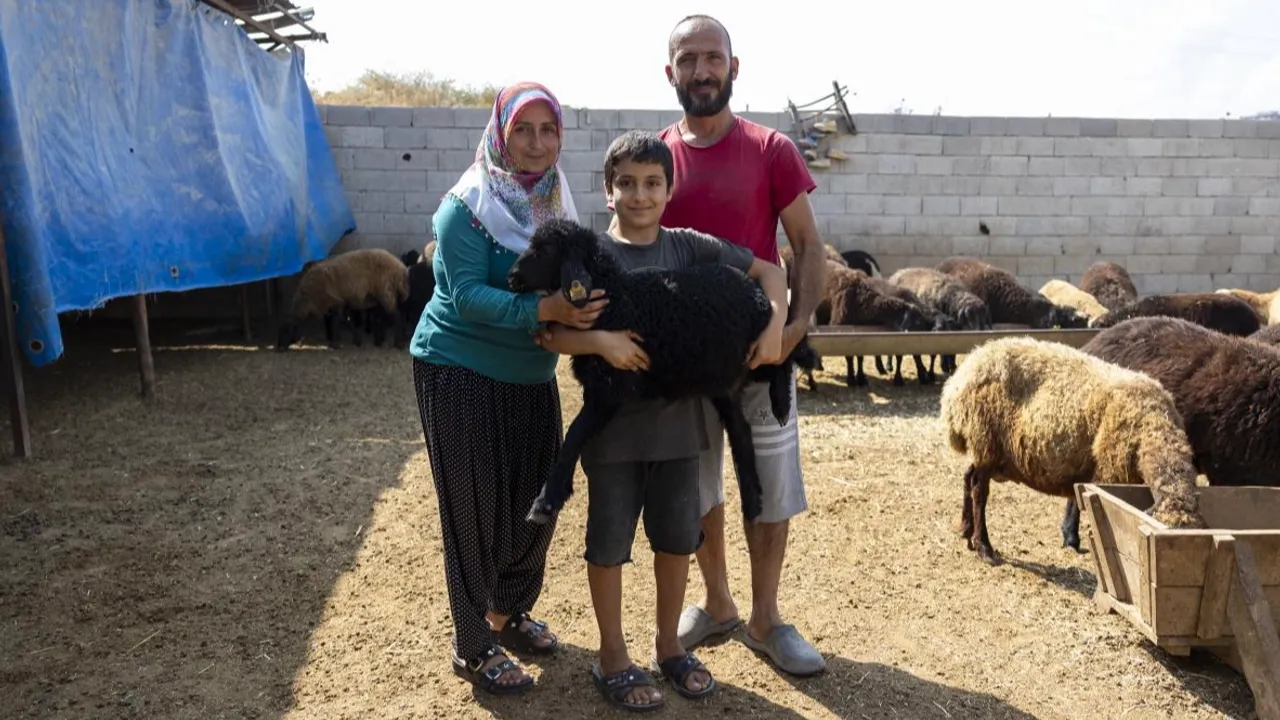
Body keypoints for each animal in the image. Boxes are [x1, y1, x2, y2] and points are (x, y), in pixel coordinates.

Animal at [278, 248, 410, 350]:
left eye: (286, 331)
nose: (279, 349)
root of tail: (401, 268)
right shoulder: (342, 303)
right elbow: (347, 321)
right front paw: (357, 340)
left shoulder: (337, 303)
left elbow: (337, 322)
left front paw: (334, 344)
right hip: (382, 296)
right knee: (389, 316)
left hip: (386, 292)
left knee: (397, 315)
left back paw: (399, 343)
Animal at [505, 218, 819, 526]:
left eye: (546, 249)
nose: (512, 277)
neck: (616, 300)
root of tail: (757, 291)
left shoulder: (610, 388)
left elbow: (574, 435)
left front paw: (545, 503)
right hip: (723, 381)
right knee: (741, 432)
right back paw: (753, 503)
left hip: (754, 353)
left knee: (784, 355)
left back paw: (781, 404)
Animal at [940, 336, 1206, 565]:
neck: (1154, 425)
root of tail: (962, 375)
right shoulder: (1110, 472)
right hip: (986, 438)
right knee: (979, 490)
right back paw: (984, 546)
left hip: (987, 449)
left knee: (968, 476)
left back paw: (965, 530)